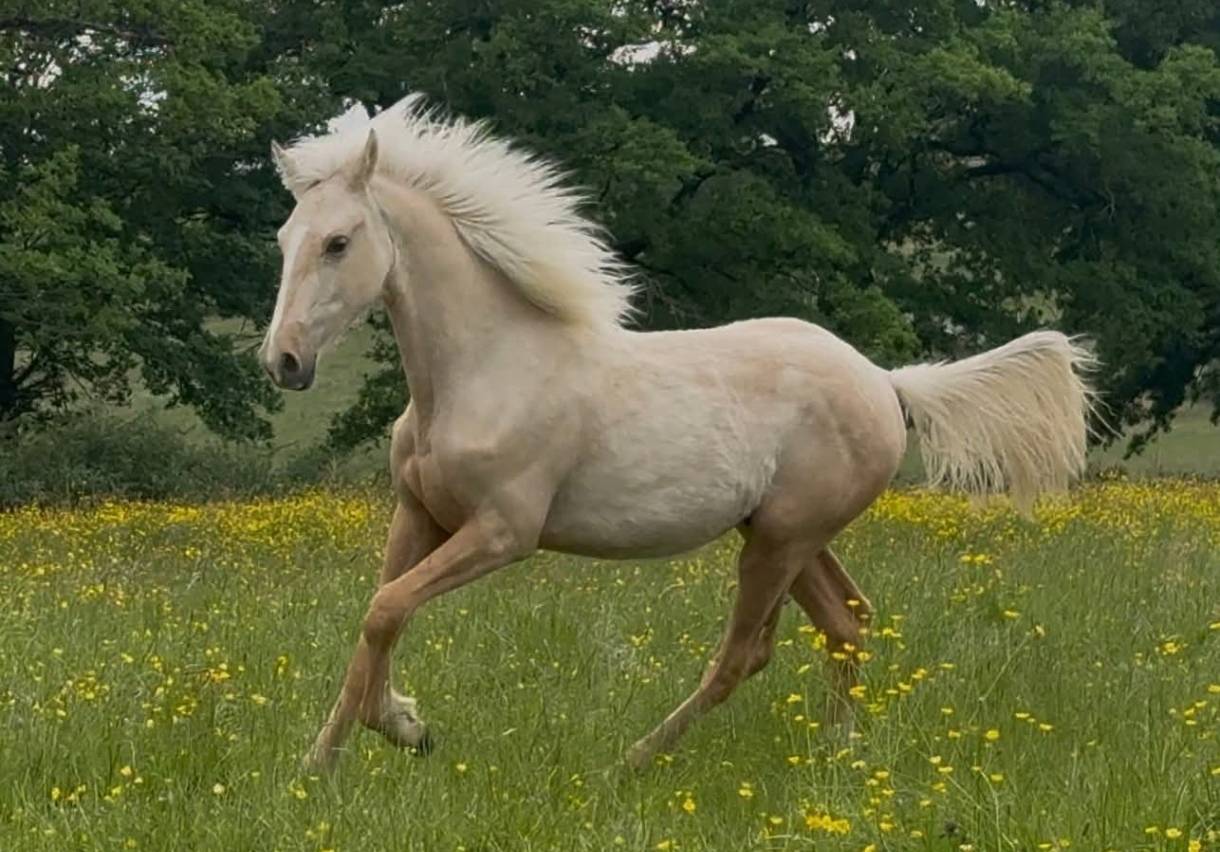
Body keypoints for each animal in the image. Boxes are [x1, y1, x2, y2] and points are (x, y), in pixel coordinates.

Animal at [260, 94, 1094, 772]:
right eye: (284, 239)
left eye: (339, 242)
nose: (284, 361)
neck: (485, 370)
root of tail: (885, 383)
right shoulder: (420, 516)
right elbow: (377, 619)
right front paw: (322, 764)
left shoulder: (502, 532)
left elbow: (385, 610)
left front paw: (406, 729)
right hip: (786, 534)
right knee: (849, 623)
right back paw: (836, 755)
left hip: (780, 541)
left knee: (747, 652)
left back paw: (633, 761)